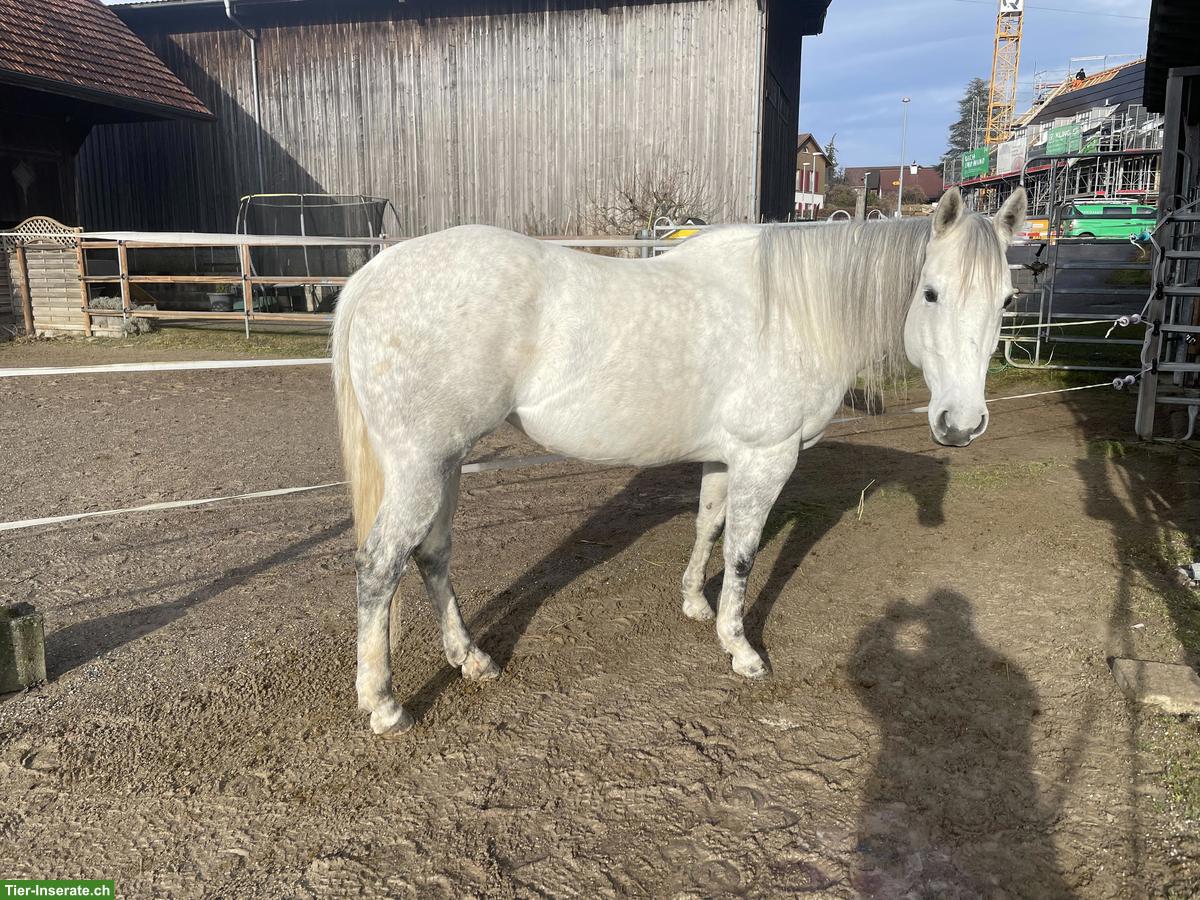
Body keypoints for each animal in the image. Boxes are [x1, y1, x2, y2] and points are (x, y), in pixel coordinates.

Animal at [332, 186, 1027, 735]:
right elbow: (743, 552)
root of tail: (373, 276)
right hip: (421, 468)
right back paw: (384, 705)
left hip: (445, 463)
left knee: (432, 554)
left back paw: (470, 659)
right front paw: (740, 649)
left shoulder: (725, 459)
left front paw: (696, 605)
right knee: (380, 565)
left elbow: (708, 527)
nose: (961, 424)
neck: (795, 311)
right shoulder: (767, 457)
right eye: (931, 293)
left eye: (1007, 301)